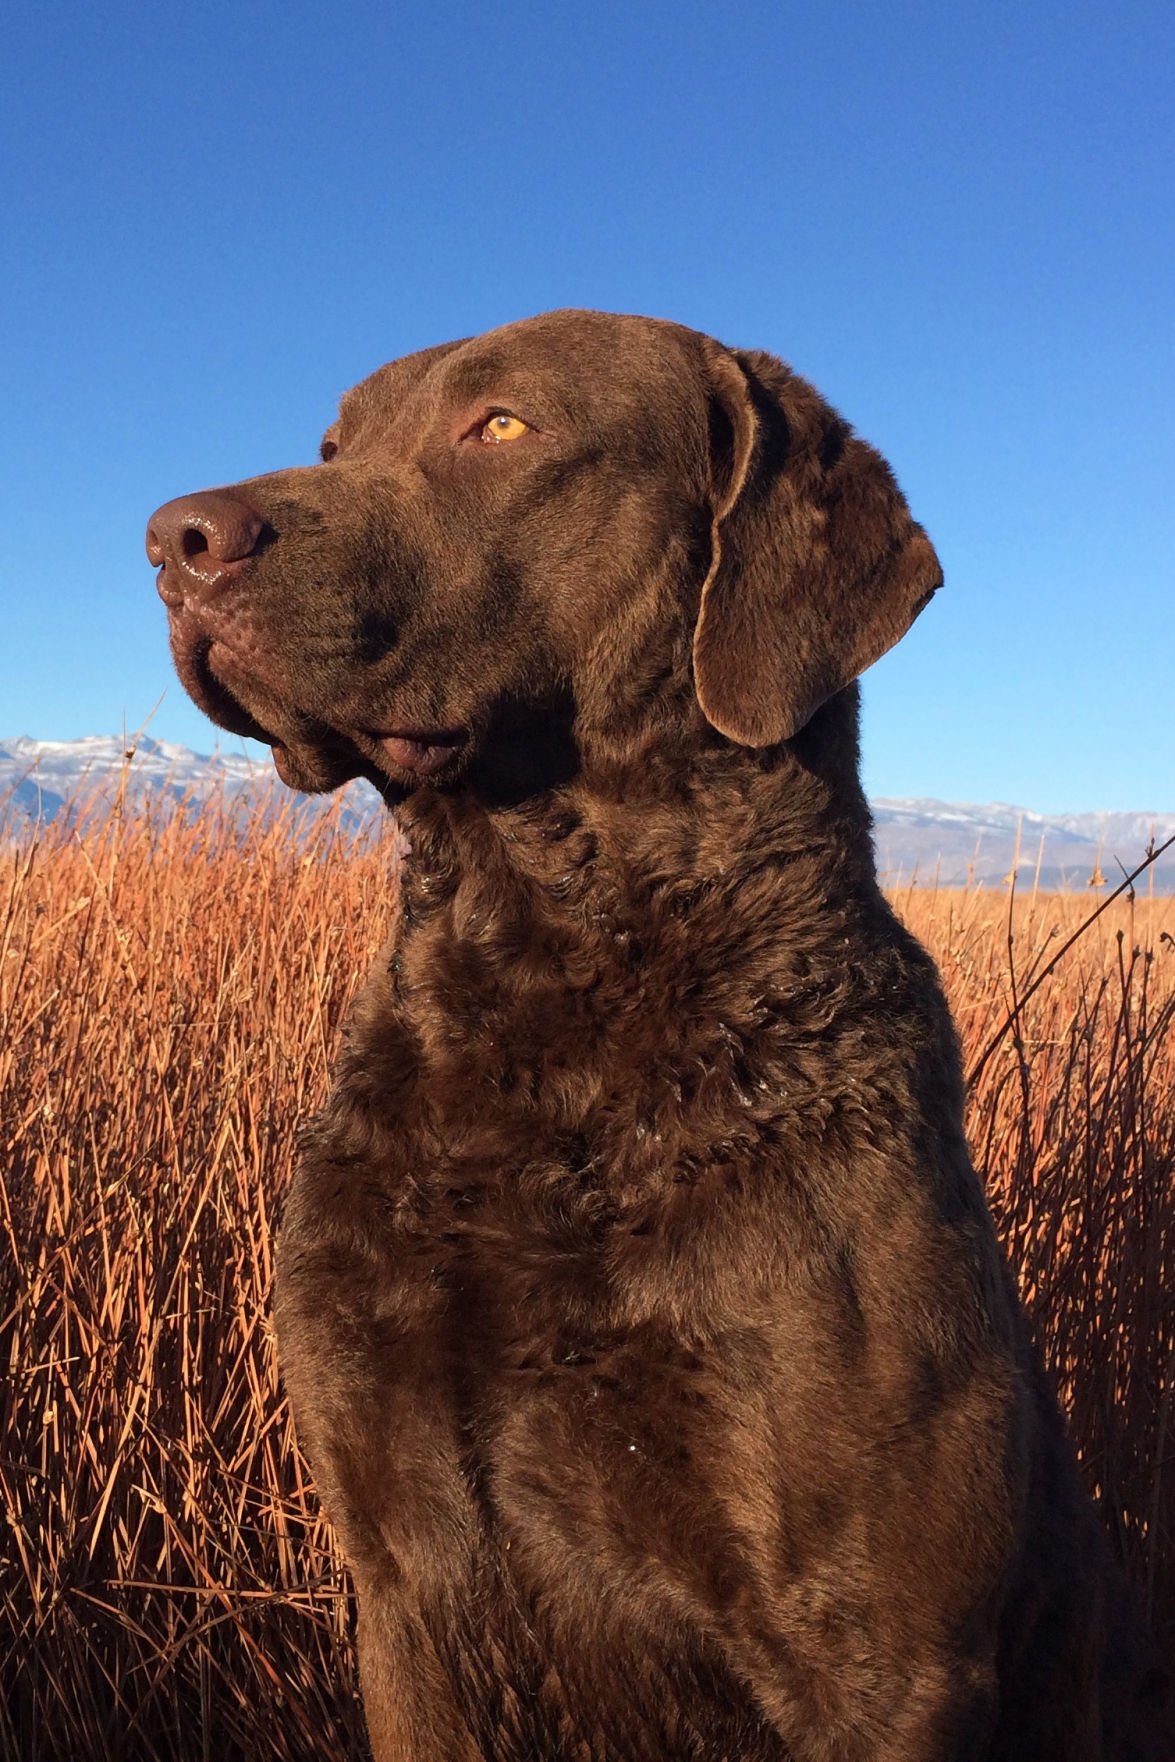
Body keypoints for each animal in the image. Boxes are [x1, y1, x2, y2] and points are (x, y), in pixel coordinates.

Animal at [147, 310, 1169, 1754]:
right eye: (335, 445)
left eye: (500, 425)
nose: (174, 539)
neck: (547, 1016)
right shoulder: (399, 1582)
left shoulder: (887, 1656)